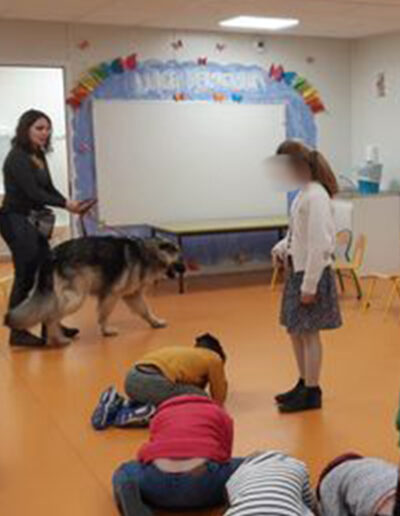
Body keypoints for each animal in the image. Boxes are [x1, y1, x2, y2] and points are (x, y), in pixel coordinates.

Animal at [5, 236, 184, 344]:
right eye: (180, 258)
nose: (184, 269)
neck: (148, 253)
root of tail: (53, 254)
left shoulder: (132, 296)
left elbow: (146, 311)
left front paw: (155, 322)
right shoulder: (111, 295)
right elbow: (103, 315)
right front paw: (106, 331)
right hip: (76, 298)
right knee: (50, 316)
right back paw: (58, 339)